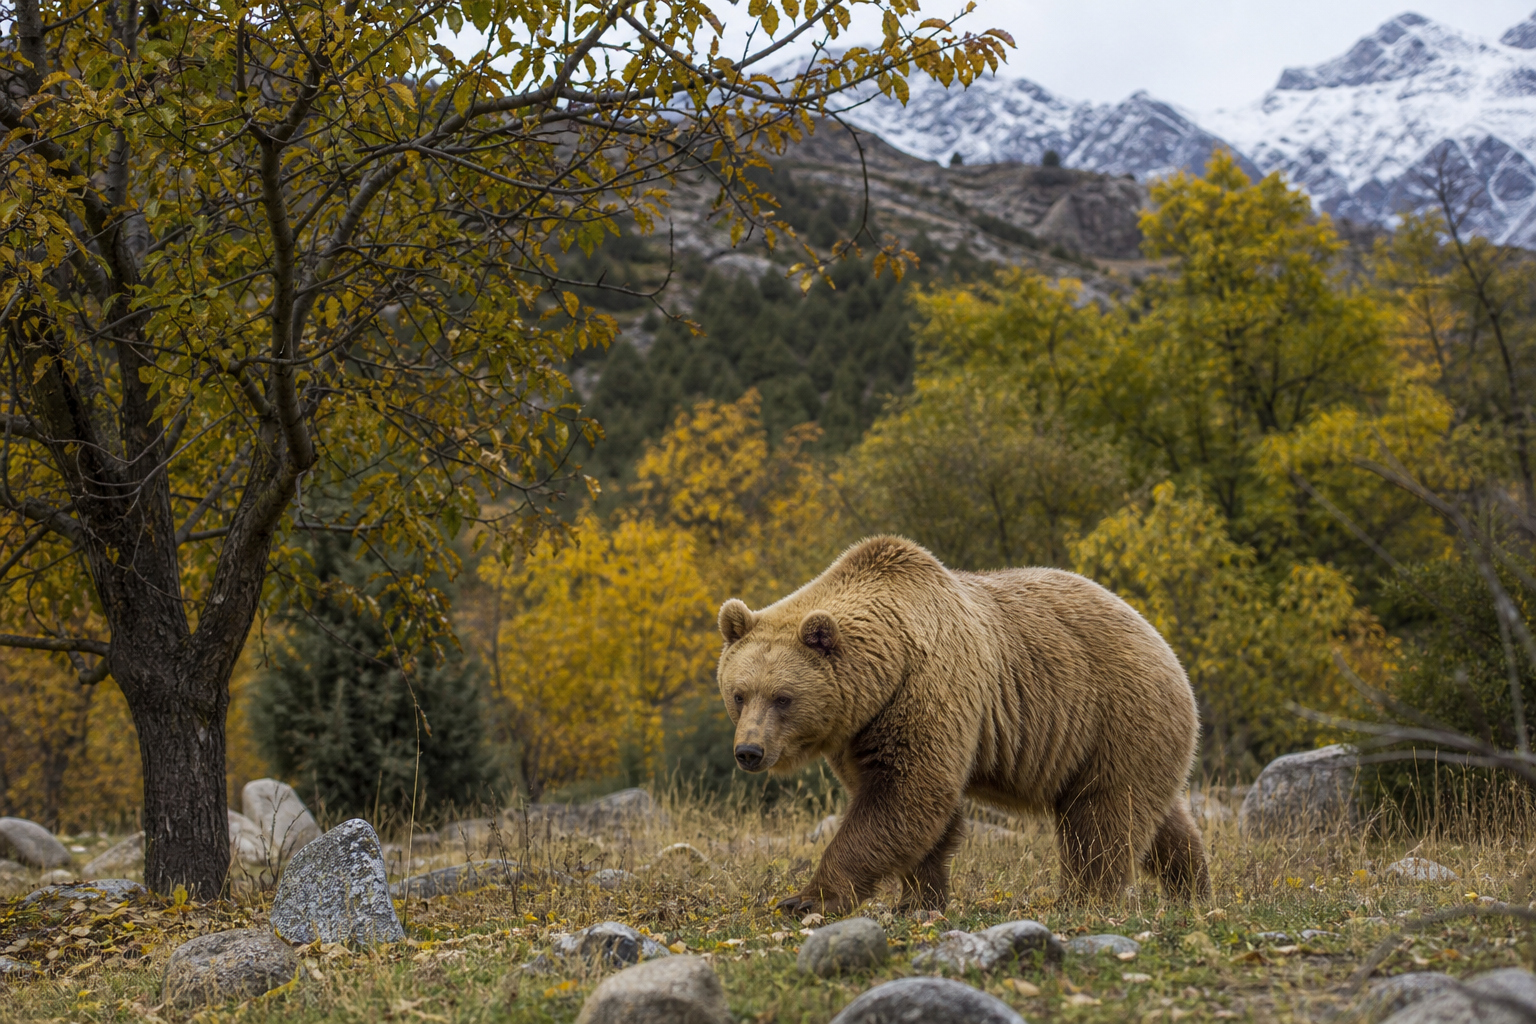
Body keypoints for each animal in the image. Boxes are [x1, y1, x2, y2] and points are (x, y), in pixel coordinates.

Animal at [716, 534, 1209, 913]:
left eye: (783, 697)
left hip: (1113, 715)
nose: (749, 752)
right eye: (739, 693)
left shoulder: (927, 688)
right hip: (1129, 737)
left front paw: (806, 898)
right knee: (1159, 817)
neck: (886, 672)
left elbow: (904, 794)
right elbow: (914, 811)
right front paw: (918, 899)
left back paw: (1083, 898)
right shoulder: (861, 729)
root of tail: (1158, 638)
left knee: (1103, 817)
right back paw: (1193, 887)